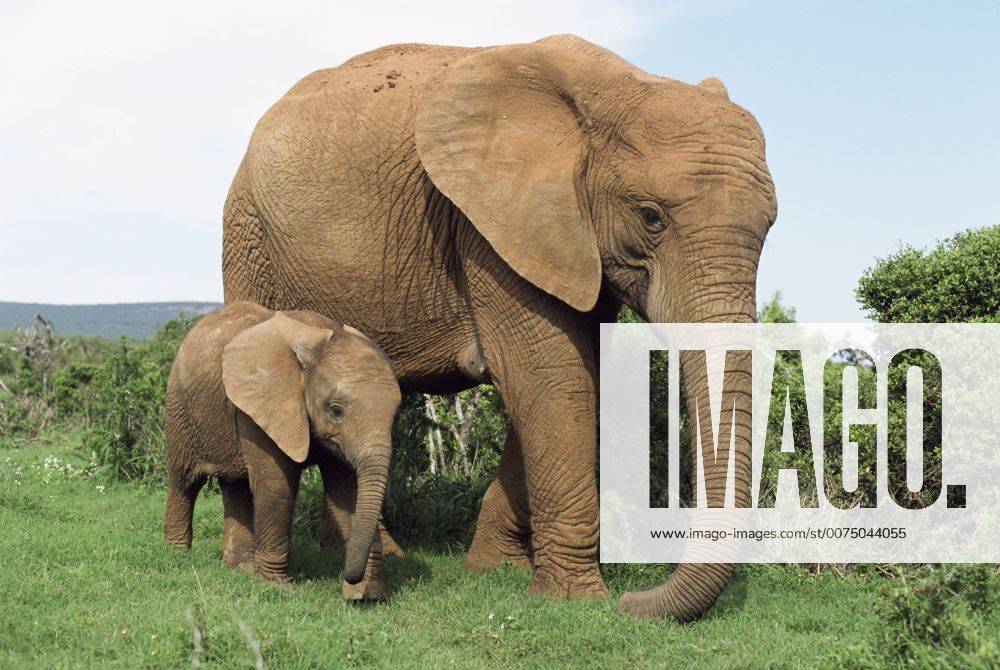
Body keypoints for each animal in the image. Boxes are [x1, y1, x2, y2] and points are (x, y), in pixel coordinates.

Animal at [162, 302, 402, 599]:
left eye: (396, 414)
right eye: (336, 411)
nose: (347, 575)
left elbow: (348, 492)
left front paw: (366, 596)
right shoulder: (260, 404)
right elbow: (276, 485)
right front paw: (278, 586)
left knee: (235, 484)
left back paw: (240, 568)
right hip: (179, 407)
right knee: (184, 482)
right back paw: (177, 554)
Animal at [221, 34, 776, 620]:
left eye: (770, 225)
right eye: (650, 217)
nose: (633, 601)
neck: (612, 86)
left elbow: (580, 376)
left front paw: (493, 570)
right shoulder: (487, 226)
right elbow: (552, 377)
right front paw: (575, 600)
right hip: (248, 235)